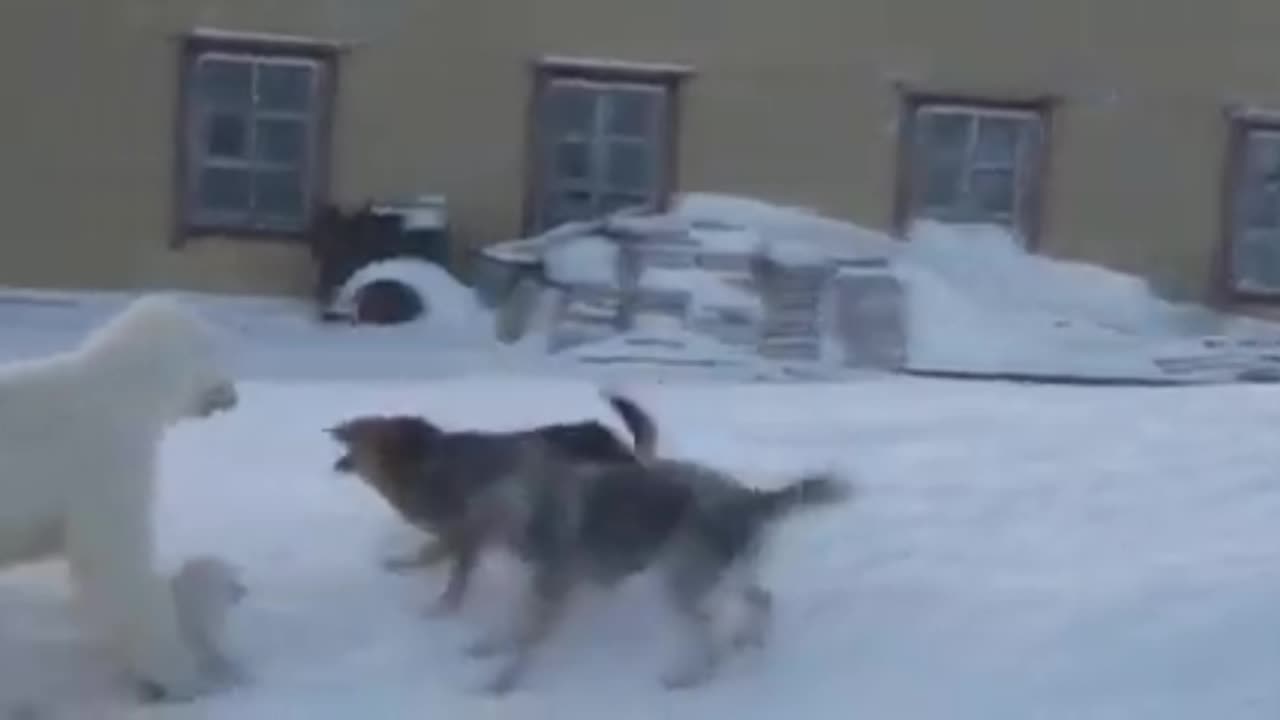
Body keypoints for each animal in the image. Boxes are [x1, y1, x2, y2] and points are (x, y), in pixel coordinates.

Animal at [0, 293, 240, 702]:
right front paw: (180, 679)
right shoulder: (107, 457)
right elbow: (117, 560)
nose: (233, 394)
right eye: (213, 349)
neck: (120, 389)